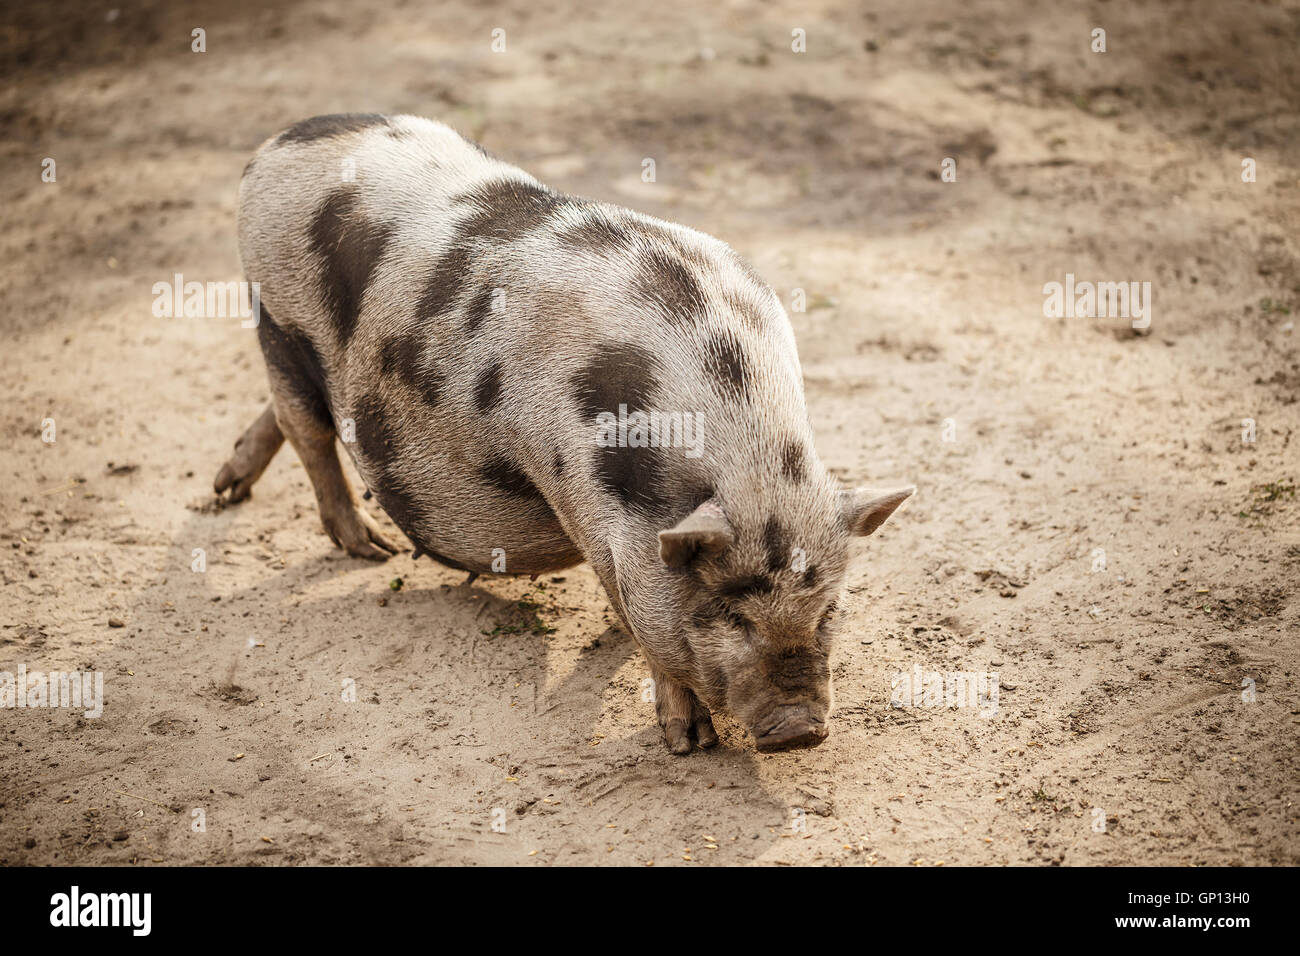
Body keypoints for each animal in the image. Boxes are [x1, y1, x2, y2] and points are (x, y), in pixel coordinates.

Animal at [215, 113, 913, 753]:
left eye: (828, 609)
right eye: (729, 613)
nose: (798, 730)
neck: (750, 465)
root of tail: (277, 142)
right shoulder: (579, 497)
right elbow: (632, 606)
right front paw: (688, 743)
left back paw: (230, 490)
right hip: (276, 320)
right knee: (305, 428)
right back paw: (368, 547)